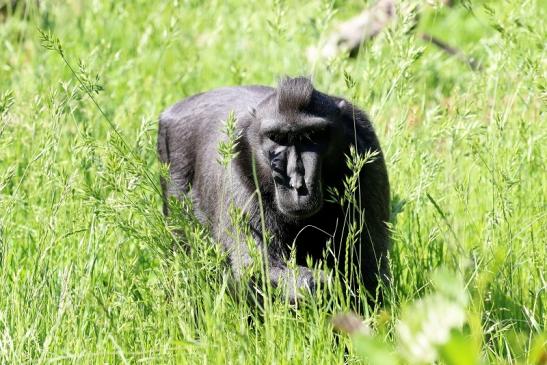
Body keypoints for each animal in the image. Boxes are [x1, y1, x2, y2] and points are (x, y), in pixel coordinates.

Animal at [156, 75, 392, 302]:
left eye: (313, 135)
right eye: (277, 138)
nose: (297, 183)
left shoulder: (367, 154)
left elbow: (366, 265)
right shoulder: (238, 170)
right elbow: (259, 268)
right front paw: (317, 284)